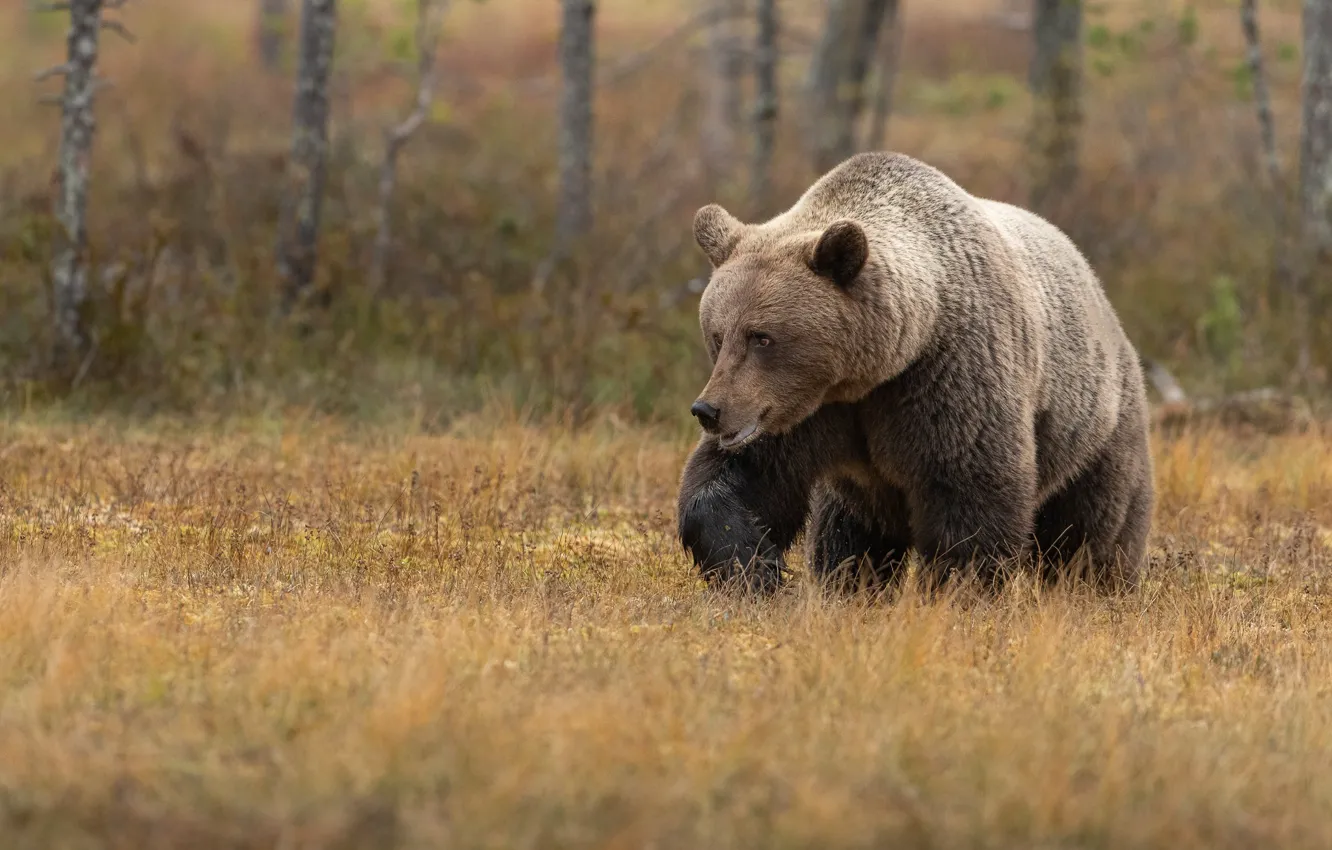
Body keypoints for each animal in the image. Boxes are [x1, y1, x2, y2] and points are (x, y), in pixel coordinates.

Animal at [675, 151, 1154, 595]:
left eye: (761, 337)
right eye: (717, 334)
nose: (708, 410)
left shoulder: (947, 378)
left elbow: (969, 498)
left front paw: (955, 591)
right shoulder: (804, 411)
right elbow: (736, 481)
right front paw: (758, 569)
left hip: (1095, 426)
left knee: (1090, 531)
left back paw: (1095, 587)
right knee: (848, 534)